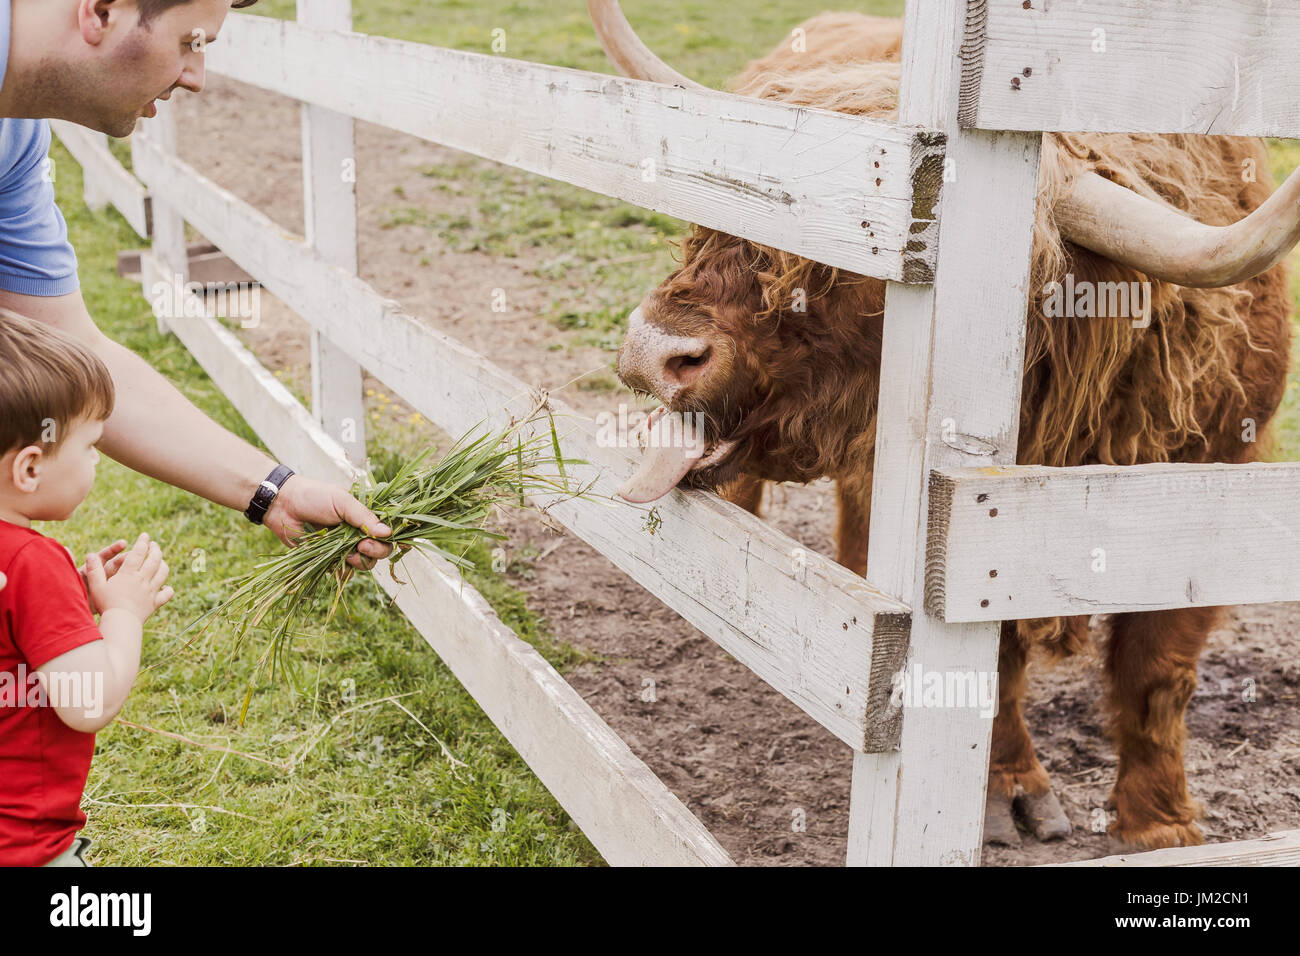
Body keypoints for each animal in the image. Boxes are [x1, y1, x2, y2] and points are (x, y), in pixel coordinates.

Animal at [589, 2, 1296, 852]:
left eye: (852, 262)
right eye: (709, 222)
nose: (650, 350)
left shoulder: (1217, 484)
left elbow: (1158, 667)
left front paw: (1161, 824)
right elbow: (996, 667)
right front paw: (1011, 792)